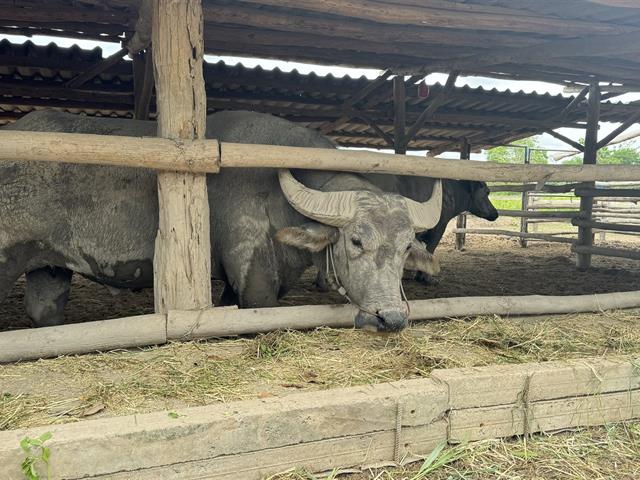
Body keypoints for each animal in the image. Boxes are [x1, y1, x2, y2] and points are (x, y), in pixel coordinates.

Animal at [0, 110, 442, 332]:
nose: (391, 317)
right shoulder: (251, 273)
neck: (274, 193)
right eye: (355, 241)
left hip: (49, 267)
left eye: (406, 247)